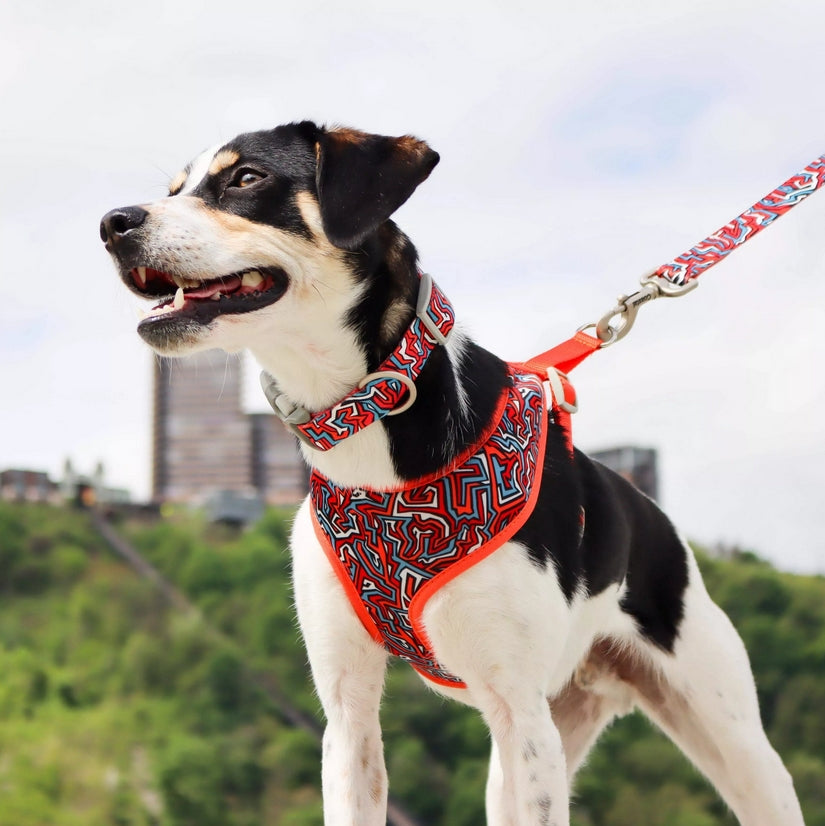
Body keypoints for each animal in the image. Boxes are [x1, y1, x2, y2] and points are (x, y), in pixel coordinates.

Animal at [100, 122, 800, 824]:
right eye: (175, 189)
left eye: (247, 178)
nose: (112, 223)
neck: (372, 426)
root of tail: (651, 511)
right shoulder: (348, 715)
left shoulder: (520, 711)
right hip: (533, 743)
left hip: (727, 739)